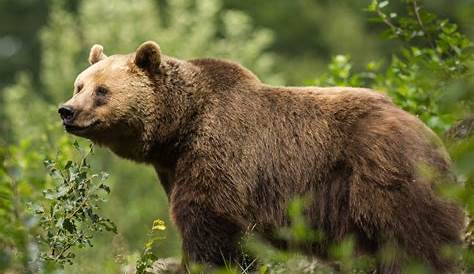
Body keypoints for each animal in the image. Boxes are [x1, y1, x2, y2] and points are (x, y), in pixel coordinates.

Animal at [58, 40, 462, 272]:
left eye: (102, 91)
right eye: (79, 85)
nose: (67, 110)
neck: (179, 130)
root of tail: (432, 136)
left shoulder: (222, 152)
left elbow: (211, 223)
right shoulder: (175, 166)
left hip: (384, 179)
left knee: (415, 241)